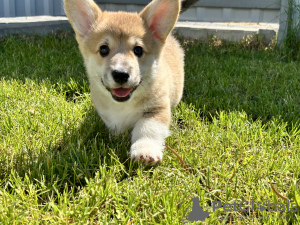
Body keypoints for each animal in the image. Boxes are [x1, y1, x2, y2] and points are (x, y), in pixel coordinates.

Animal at [63, 0, 188, 165]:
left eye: (138, 50)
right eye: (103, 49)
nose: (121, 75)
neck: (124, 104)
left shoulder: (157, 108)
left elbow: (147, 128)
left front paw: (145, 151)